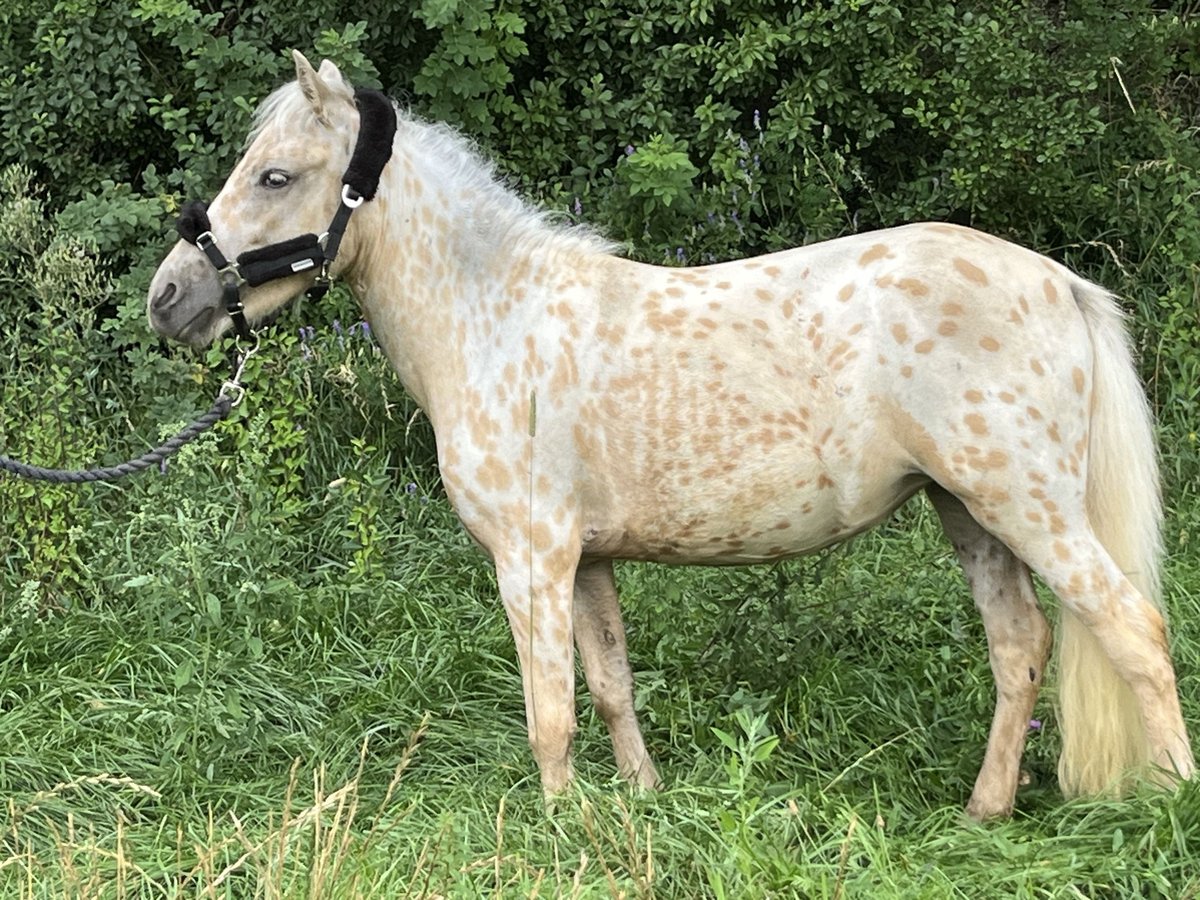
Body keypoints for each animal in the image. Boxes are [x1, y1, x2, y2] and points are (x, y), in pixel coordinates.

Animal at [147, 52, 1190, 820]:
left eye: (276, 175)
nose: (169, 298)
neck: (494, 317)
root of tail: (1058, 280)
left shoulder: (530, 561)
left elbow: (550, 712)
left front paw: (559, 826)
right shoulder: (587, 561)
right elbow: (610, 686)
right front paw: (640, 801)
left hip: (1028, 507)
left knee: (1132, 629)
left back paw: (1171, 803)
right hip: (969, 510)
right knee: (1021, 649)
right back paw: (983, 811)